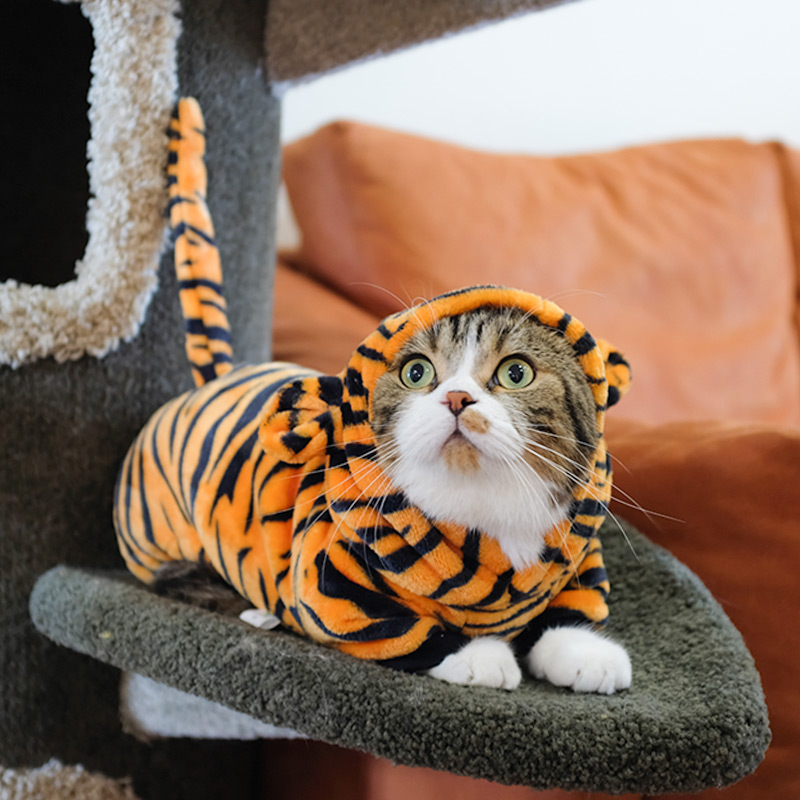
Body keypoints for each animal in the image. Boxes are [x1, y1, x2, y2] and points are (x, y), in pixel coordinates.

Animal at [114, 98, 633, 693]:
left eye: (516, 373)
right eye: (417, 372)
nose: (457, 399)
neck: (489, 523)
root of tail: (218, 379)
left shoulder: (574, 554)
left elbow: (573, 605)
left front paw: (588, 652)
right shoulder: (328, 585)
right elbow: (401, 630)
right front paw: (481, 656)